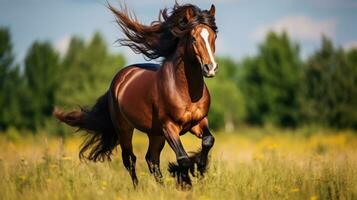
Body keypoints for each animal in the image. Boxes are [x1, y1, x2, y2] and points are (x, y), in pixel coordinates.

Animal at [53, 2, 217, 188]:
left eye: (214, 36)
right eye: (194, 38)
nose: (210, 68)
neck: (185, 91)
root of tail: (120, 78)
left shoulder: (198, 122)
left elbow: (208, 140)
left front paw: (200, 169)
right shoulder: (170, 127)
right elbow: (182, 157)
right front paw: (186, 183)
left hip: (155, 133)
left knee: (151, 159)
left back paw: (161, 188)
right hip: (125, 128)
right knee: (130, 159)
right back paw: (138, 188)